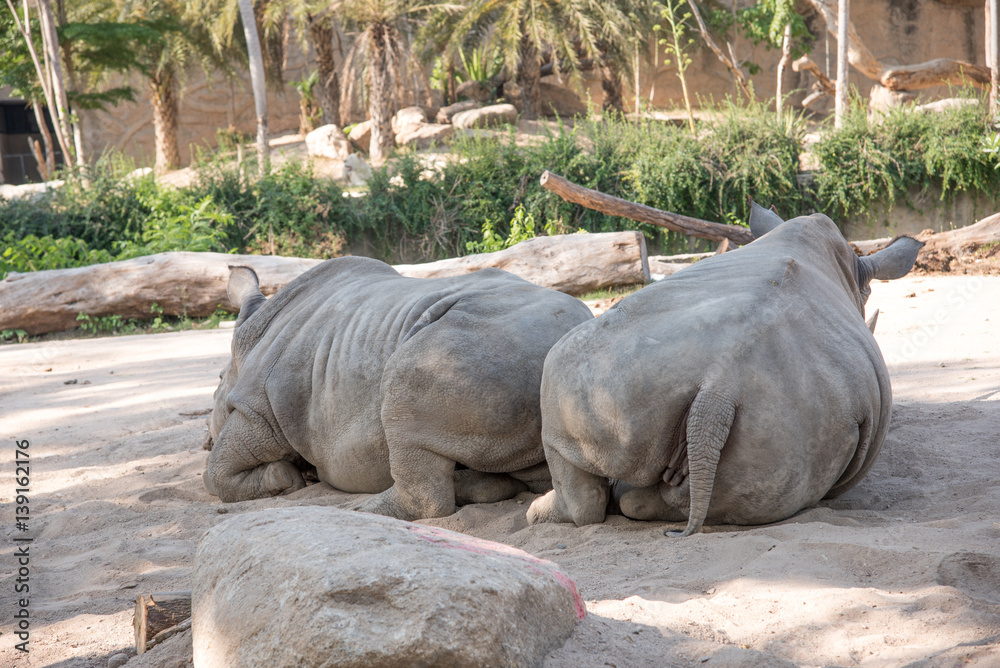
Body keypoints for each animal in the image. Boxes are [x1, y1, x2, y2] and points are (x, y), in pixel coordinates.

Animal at [204, 256, 593, 520]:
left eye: (217, 383)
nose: (204, 438)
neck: (248, 340)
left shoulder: (260, 410)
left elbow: (215, 473)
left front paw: (283, 478)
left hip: (472, 349)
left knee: (404, 390)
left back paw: (362, 511)